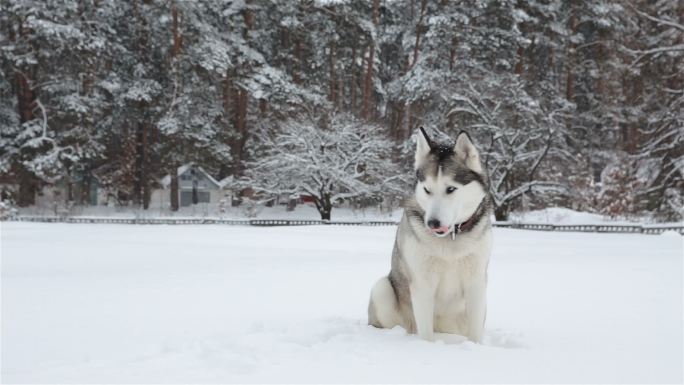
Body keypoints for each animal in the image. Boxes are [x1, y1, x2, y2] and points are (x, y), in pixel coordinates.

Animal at [368, 127, 492, 340]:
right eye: (427, 189)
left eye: (451, 189)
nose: (432, 223)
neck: (451, 238)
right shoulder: (422, 283)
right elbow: (425, 331)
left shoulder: (476, 281)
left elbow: (475, 332)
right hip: (382, 289)